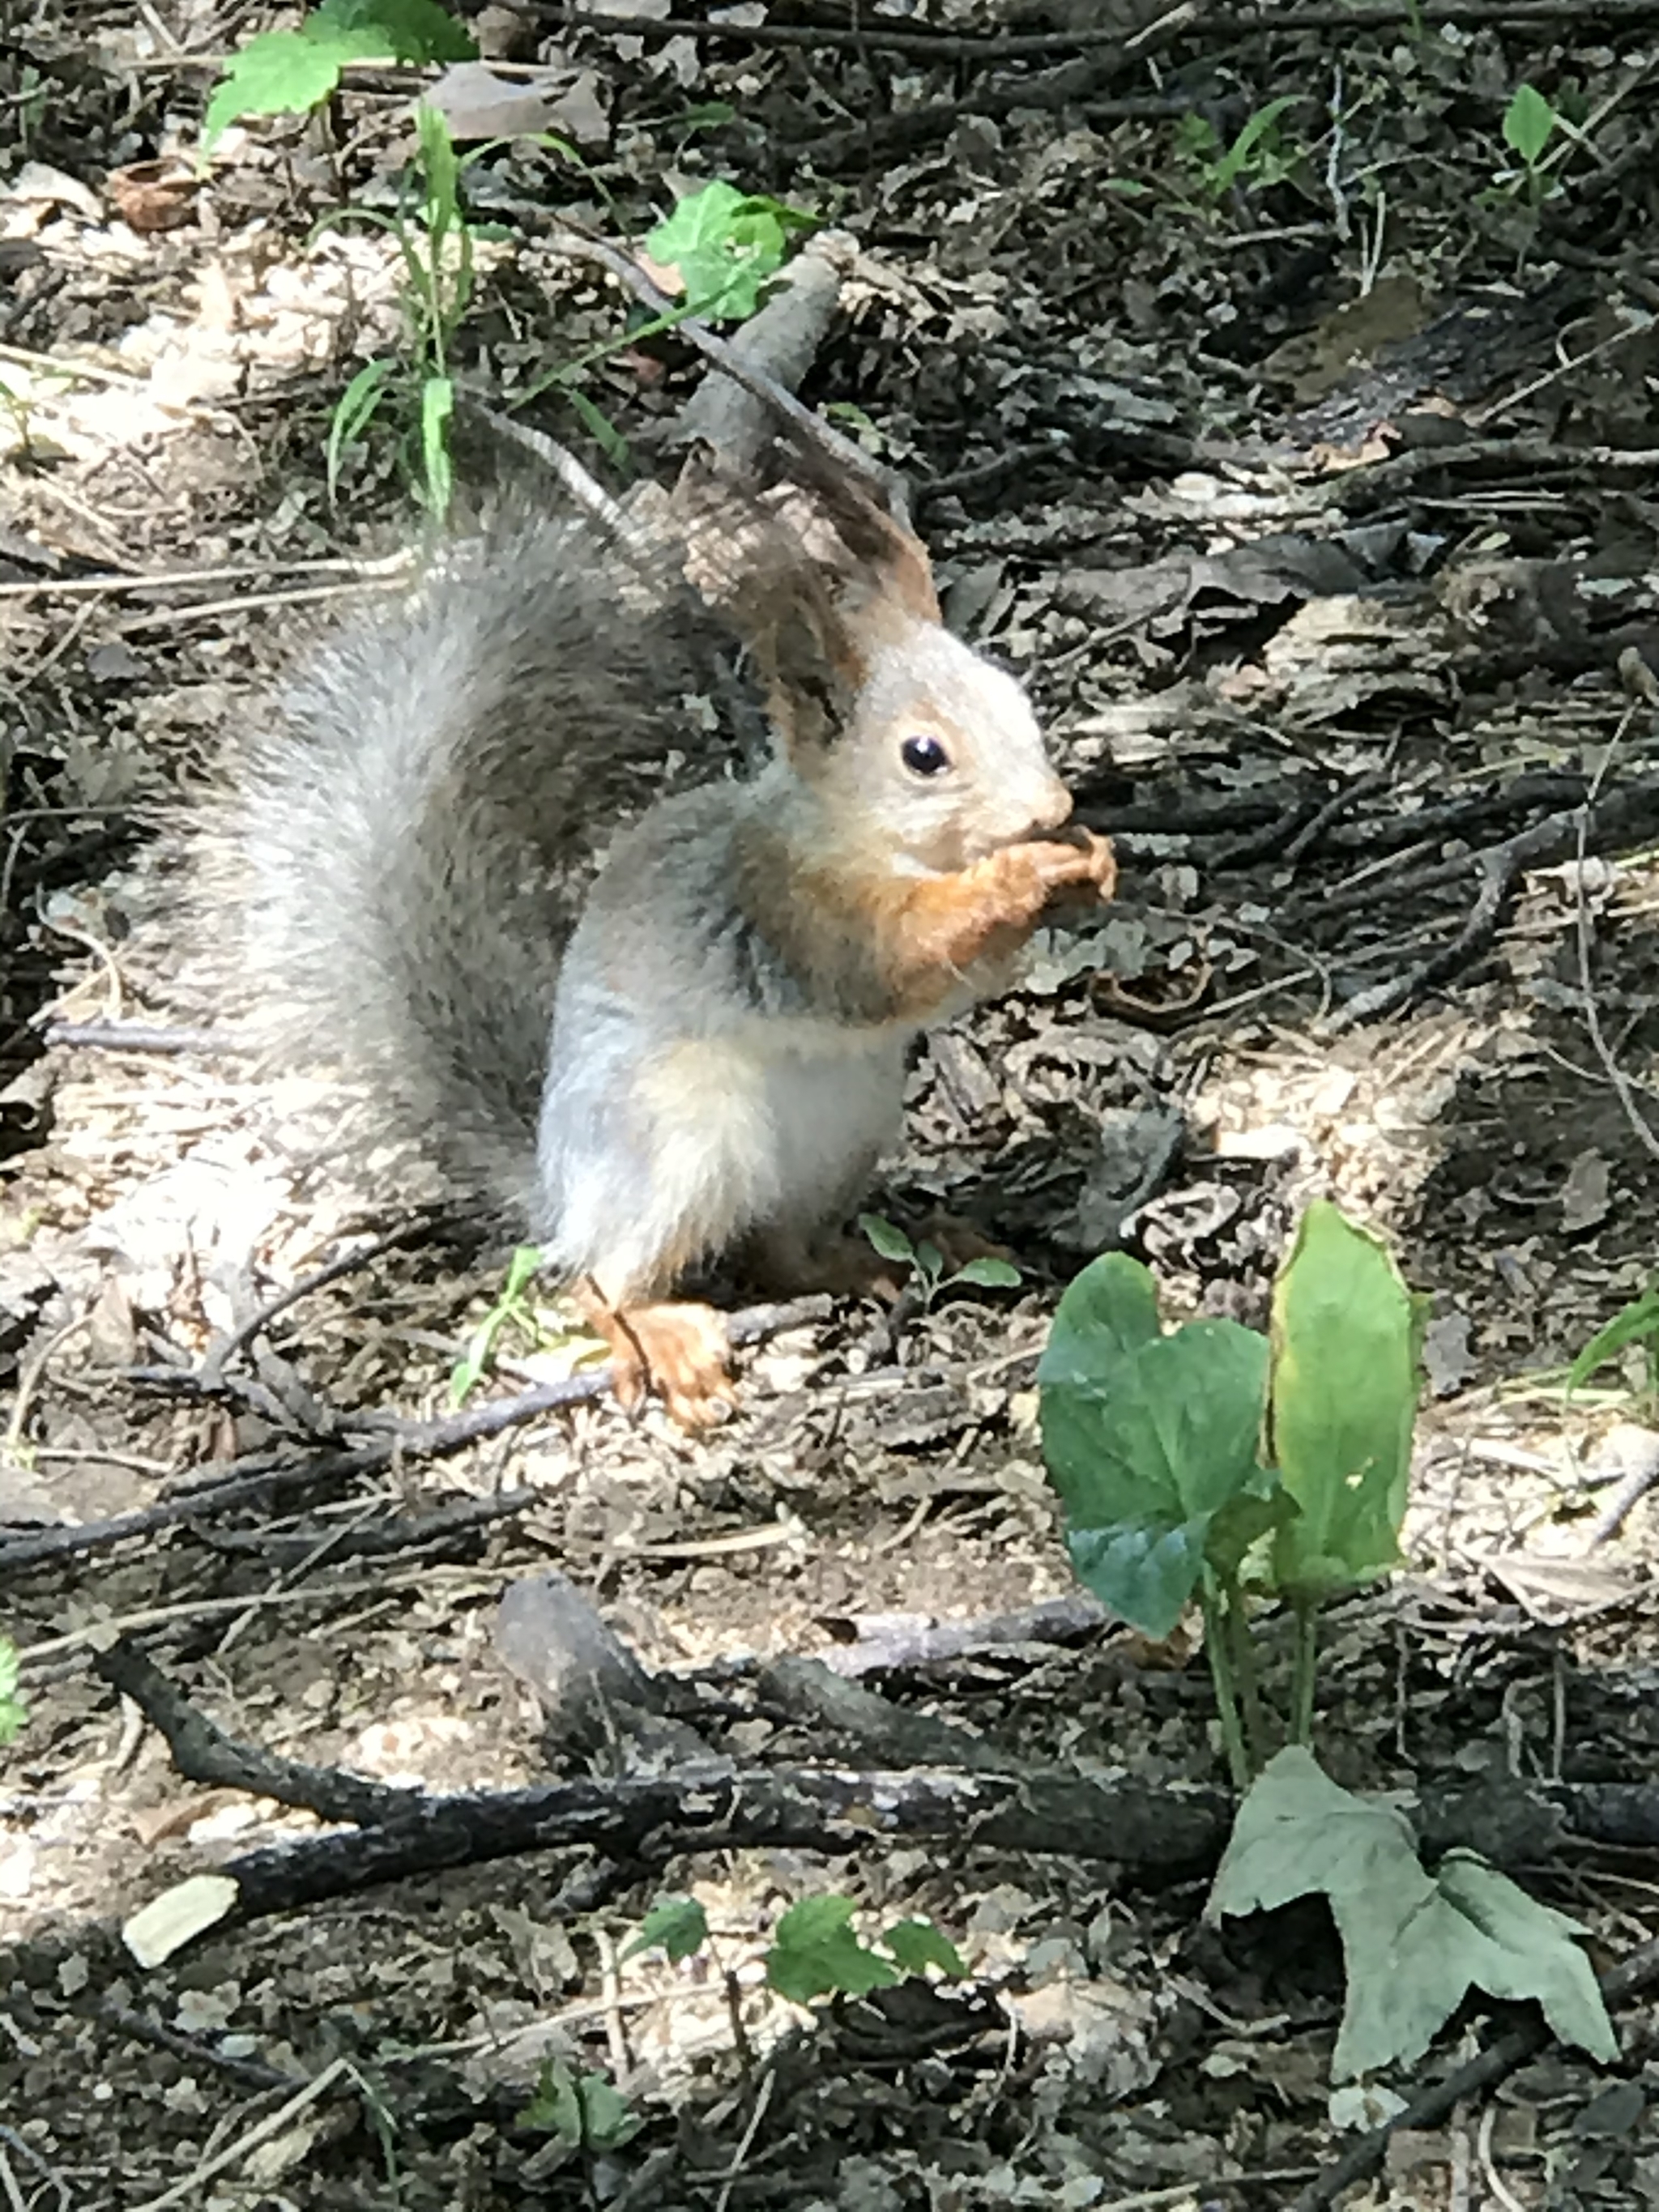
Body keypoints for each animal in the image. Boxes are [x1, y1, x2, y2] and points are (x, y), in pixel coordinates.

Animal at [204, 473, 1119, 1424]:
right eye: (923, 755)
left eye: (1018, 704)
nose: (1052, 808)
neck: (859, 838)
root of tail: (557, 1190)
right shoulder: (789, 912)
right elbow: (891, 963)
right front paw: (1021, 872)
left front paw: (1088, 862)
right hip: (673, 1143)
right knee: (596, 1279)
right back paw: (664, 1335)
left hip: (841, 1138)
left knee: (778, 1252)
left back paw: (866, 1256)